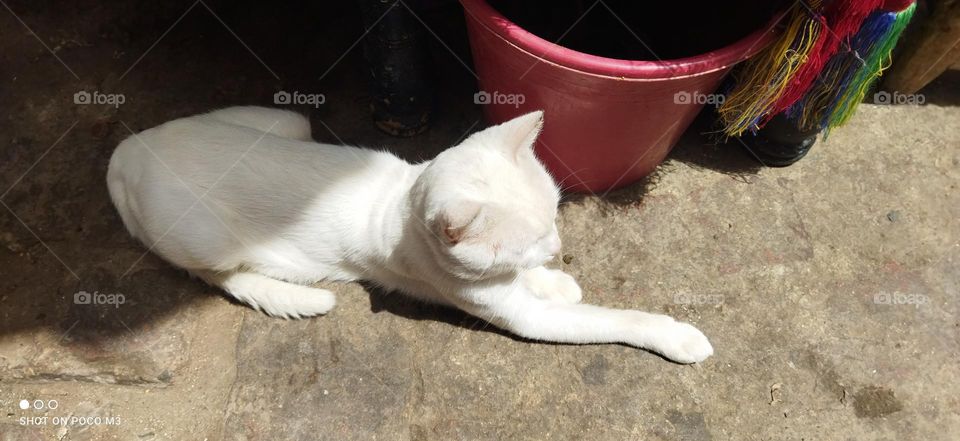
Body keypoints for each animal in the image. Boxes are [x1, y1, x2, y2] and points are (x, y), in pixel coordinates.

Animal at [109, 105, 716, 360]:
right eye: (532, 237)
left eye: (554, 219)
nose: (560, 248)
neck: (402, 199)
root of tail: (125, 151)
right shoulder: (524, 318)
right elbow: (612, 319)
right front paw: (678, 337)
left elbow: (540, 285)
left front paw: (552, 279)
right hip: (203, 238)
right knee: (216, 276)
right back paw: (294, 295)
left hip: (289, 122)